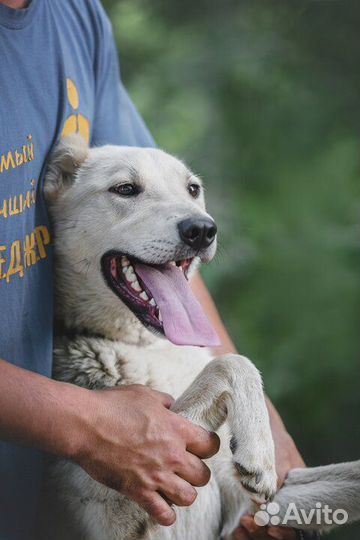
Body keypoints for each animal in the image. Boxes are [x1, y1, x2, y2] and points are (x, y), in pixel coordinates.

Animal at [43, 136, 360, 540]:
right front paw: (259, 450)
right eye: (125, 189)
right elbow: (231, 363)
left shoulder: (247, 506)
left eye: (193, 189)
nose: (202, 229)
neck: (145, 347)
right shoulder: (116, 512)